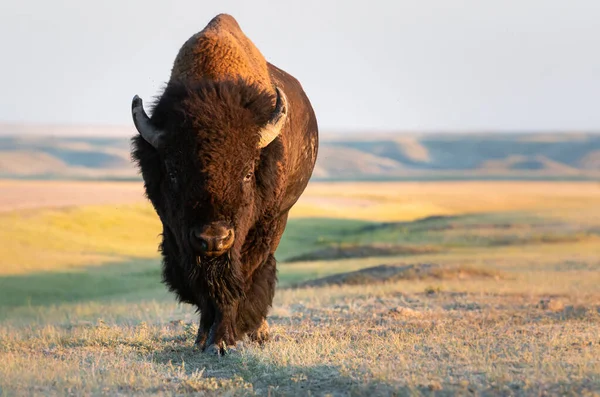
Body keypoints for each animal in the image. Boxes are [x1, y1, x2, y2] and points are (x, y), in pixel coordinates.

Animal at [131, 13, 318, 352]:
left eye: (247, 173)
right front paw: (203, 338)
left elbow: (238, 282)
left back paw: (258, 331)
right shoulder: (177, 236)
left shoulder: (258, 231)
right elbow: (204, 288)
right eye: (173, 172)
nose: (213, 238)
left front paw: (222, 341)